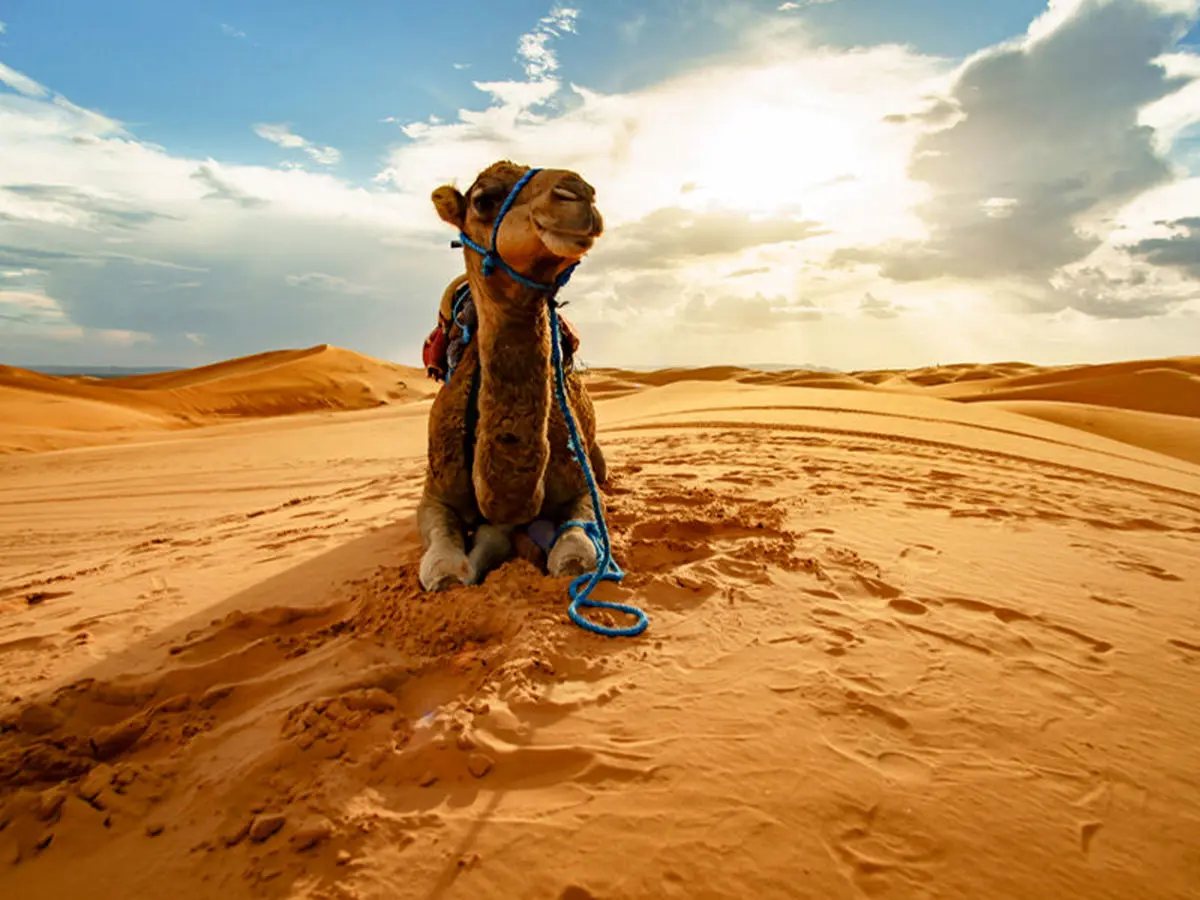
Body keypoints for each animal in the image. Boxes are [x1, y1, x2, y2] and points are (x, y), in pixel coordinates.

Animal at [417, 158, 609, 595]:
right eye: (483, 199)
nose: (579, 193)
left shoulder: (582, 487)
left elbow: (574, 556)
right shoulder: (434, 494)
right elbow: (443, 568)